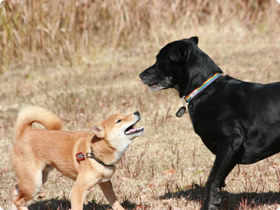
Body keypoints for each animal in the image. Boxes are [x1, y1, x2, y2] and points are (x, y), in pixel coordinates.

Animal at [9, 106, 143, 210]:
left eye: (123, 115)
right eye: (119, 120)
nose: (137, 112)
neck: (94, 152)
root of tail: (25, 131)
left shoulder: (105, 183)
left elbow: (115, 202)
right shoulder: (78, 189)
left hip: (39, 178)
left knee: (15, 192)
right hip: (34, 183)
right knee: (18, 200)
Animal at [140, 36, 280, 210]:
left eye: (159, 61)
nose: (140, 75)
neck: (205, 91)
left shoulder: (230, 143)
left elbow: (212, 180)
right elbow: (218, 183)